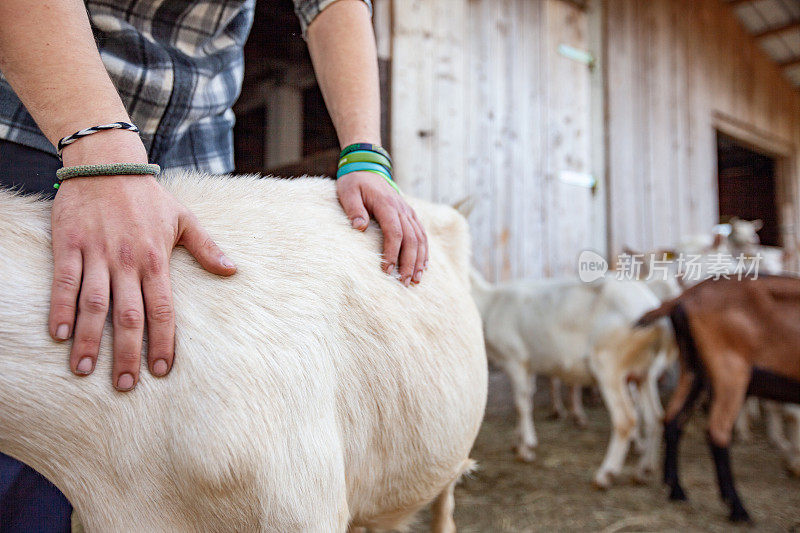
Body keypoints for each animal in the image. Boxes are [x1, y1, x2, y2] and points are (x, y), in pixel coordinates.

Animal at [468, 272, 668, 484]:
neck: (490, 302)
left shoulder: (515, 360)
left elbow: (521, 404)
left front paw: (526, 449)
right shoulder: (529, 365)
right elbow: (527, 398)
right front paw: (518, 440)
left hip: (609, 365)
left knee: (626, 420)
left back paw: (605, 474)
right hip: (644, 372)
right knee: (655, 417)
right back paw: (644, 470)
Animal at [636, 276, 800, 520]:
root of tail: (685, 297)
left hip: (694, 370)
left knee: (672, 419)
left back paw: (677, 490)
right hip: (730, 371)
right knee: (717, 431)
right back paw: (738, 509)